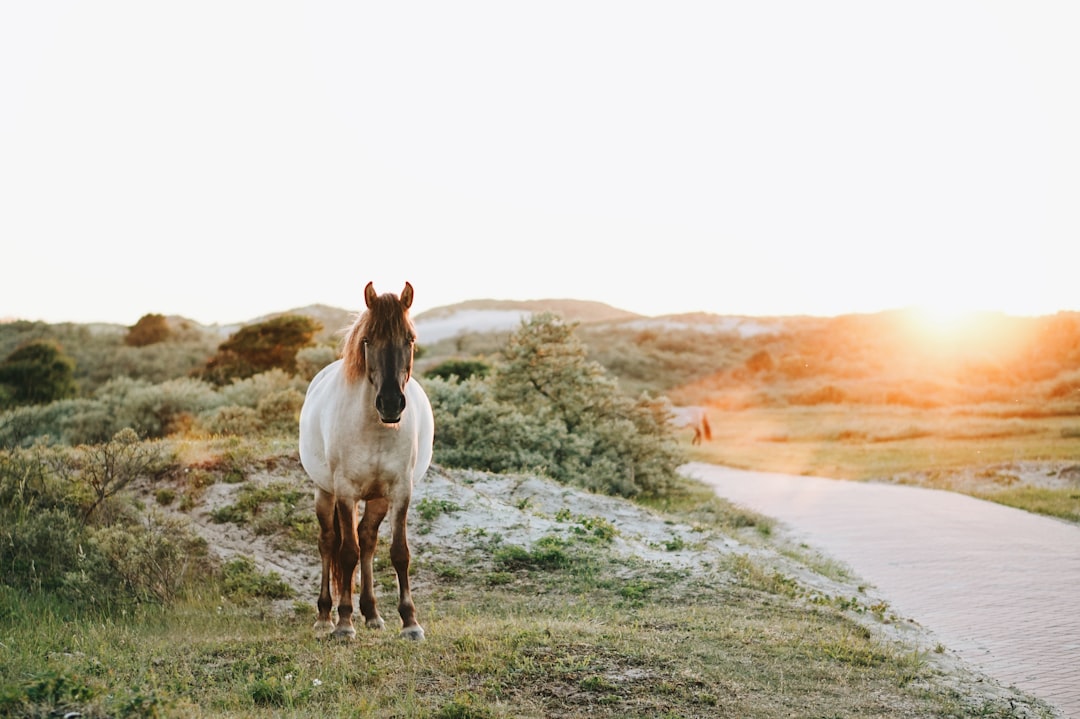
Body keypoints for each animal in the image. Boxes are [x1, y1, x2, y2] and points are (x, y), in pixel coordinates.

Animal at [295, 280, 434, 639]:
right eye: (368, 340)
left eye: (409, 339)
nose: (391, 403)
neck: (375, 428)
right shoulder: (345, 492)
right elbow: (347, 553)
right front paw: (344, 624)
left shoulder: (400, 491)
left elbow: (399, 553)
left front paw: (410, 622)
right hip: (324, 491)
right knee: (329, 542)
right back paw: (325, 616)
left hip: (377, 498)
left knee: (368, 539)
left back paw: (372, 613)